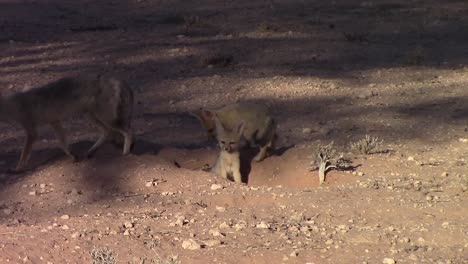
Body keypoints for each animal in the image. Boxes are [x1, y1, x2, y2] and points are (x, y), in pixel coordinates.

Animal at [0, 76, 135, 171]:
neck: (15, 105)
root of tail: (117, 80)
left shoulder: (32, 132)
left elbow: (23, 154)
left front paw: (17, 168)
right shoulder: (54, 121)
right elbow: (62, 144)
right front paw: (72, 156)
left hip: (107, 119)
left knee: (128, 131)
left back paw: (125, 153)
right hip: (92, 117)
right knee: (108, 132)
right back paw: (90, 152)